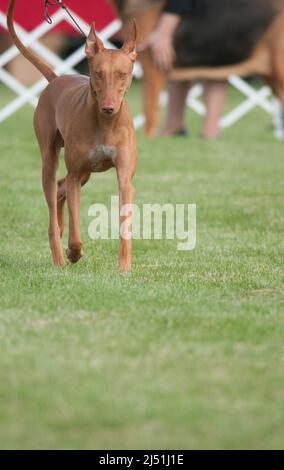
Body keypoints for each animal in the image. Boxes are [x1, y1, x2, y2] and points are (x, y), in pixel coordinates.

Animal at [7, 0, 138, 272]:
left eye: (122, 74)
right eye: (98, 73)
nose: (109, 107)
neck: (105, 123)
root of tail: (57, 79)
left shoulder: (124, 179)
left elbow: (125, 228)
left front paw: (124, 269)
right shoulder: (76, 174)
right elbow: (76, 229)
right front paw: (74, 252)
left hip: (84, 172)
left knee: (60, 189)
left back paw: (60, 228)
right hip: (51, 160)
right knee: (54, 197)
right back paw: (59, 255)